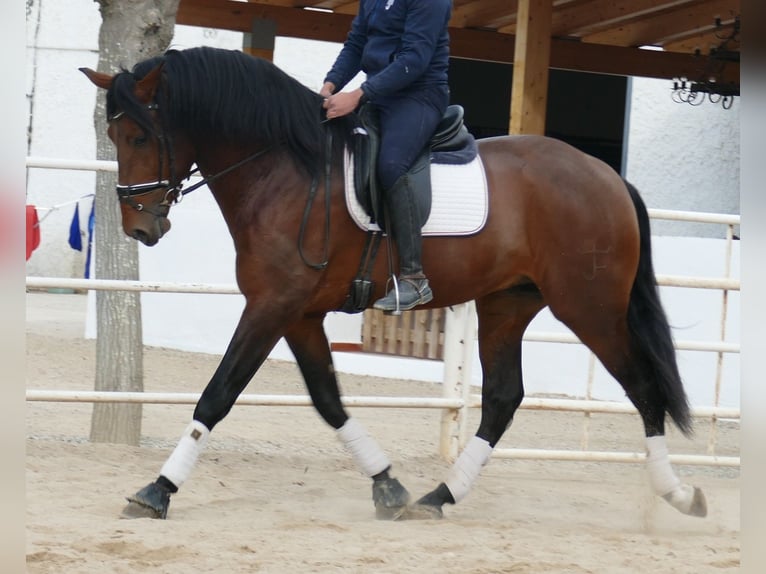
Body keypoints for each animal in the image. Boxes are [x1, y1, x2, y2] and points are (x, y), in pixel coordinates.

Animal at [81, 46, 707, 521]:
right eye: (113, 134)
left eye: (140, 136)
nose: (139, 227)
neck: (285, 170)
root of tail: (608, 177)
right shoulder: (297, 313)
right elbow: (328, 400)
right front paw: (388, 485)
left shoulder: (271, 305)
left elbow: (218, 394)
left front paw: (157, 490)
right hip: (507, 305)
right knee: (503, 399)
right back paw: (438, 496)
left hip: (589, 307)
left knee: (643, 388)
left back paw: (678, 495)